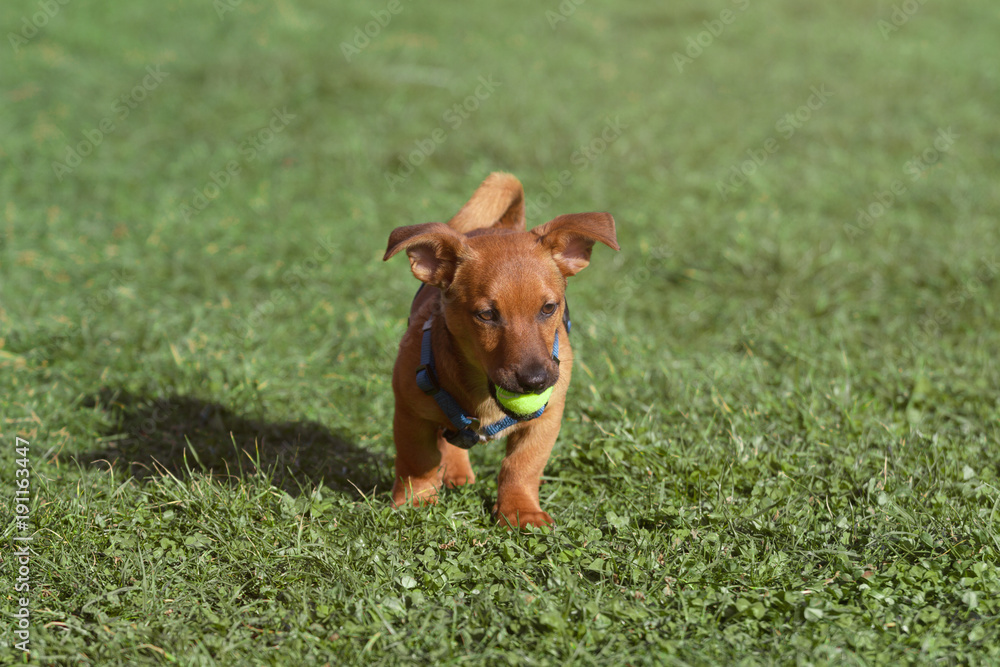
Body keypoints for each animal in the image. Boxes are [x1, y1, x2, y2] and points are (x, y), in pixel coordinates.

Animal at [382, 175, 616, 528]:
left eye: (549, 308)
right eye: (486, 315)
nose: (536, 381)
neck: (482, 391)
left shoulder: (546, 420)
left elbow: (521, 467)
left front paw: (520, 510)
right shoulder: (410, 412)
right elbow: (417, 460)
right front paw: (416, 501)